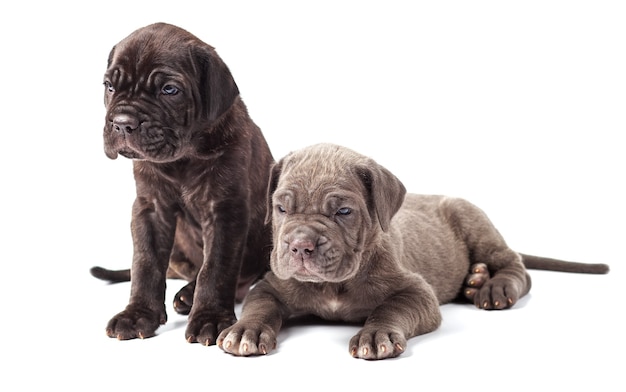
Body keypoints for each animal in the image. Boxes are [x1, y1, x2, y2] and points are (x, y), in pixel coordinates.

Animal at [90, 23, 272, 344]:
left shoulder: (225, 209)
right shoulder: (150, 208)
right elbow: (145, 263)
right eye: (109, 86)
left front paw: (210, 317)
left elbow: (216, 267)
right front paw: (137, 314)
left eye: (169, 90)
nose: (122, 123)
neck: (182, 159)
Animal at [217, 143, 608, 358]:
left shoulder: (417, 292)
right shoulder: (270, 285)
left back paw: (493, 286)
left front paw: (376, 335)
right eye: (281, 208)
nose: (299, 245)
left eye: (343, 212)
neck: (335, 285)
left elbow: (391, 307)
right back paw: (474, 280)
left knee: (515, 266)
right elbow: (260, 306)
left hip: (473, 221)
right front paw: (246, 331)